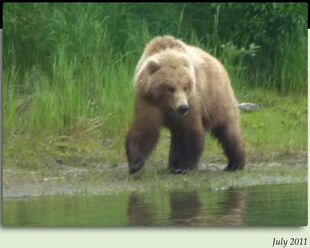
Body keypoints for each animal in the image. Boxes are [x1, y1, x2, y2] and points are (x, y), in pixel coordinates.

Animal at [125, 35, 245, 174]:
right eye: (170, 88)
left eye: (185, 87)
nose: (182, 107)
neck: (166, 104)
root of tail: (218, 62)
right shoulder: (148, 101)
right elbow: (144, 128)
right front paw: (135, 163)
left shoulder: (192, 100)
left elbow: (190, 132)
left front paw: (185, 166)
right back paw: (173, 164)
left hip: (217, 98)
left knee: (228, 130)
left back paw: (235, 163)